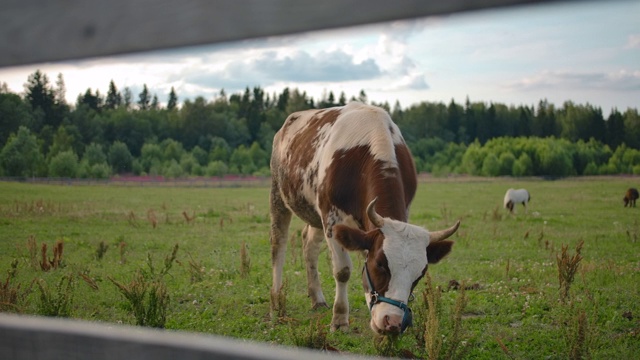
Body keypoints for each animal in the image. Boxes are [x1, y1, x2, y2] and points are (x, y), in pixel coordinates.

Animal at [270, 102, 460, 336]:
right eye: (380, 264)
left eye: (420, 274)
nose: (393, 322)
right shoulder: (332, 219)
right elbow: (342, 271)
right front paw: (339, 320)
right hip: (279, 193)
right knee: (279, 244)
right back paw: (276, 299)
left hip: (314, 212)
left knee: (309, 244)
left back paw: (317, 298)